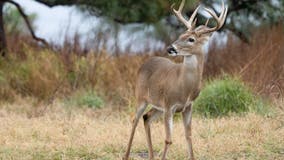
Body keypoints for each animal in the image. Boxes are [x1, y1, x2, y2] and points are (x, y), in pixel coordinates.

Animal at [123, 0, 227, 160]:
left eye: (191, 39)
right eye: (181, 34)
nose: (170, 48)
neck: (185, 87)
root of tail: (144, 63)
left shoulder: (188, 106)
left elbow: (189, 136)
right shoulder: (169, 105)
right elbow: (168, 139)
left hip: (157, 105)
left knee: (147, 117)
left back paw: (151, 156)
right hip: (141, 97)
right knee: (135, 120)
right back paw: (126, 156)